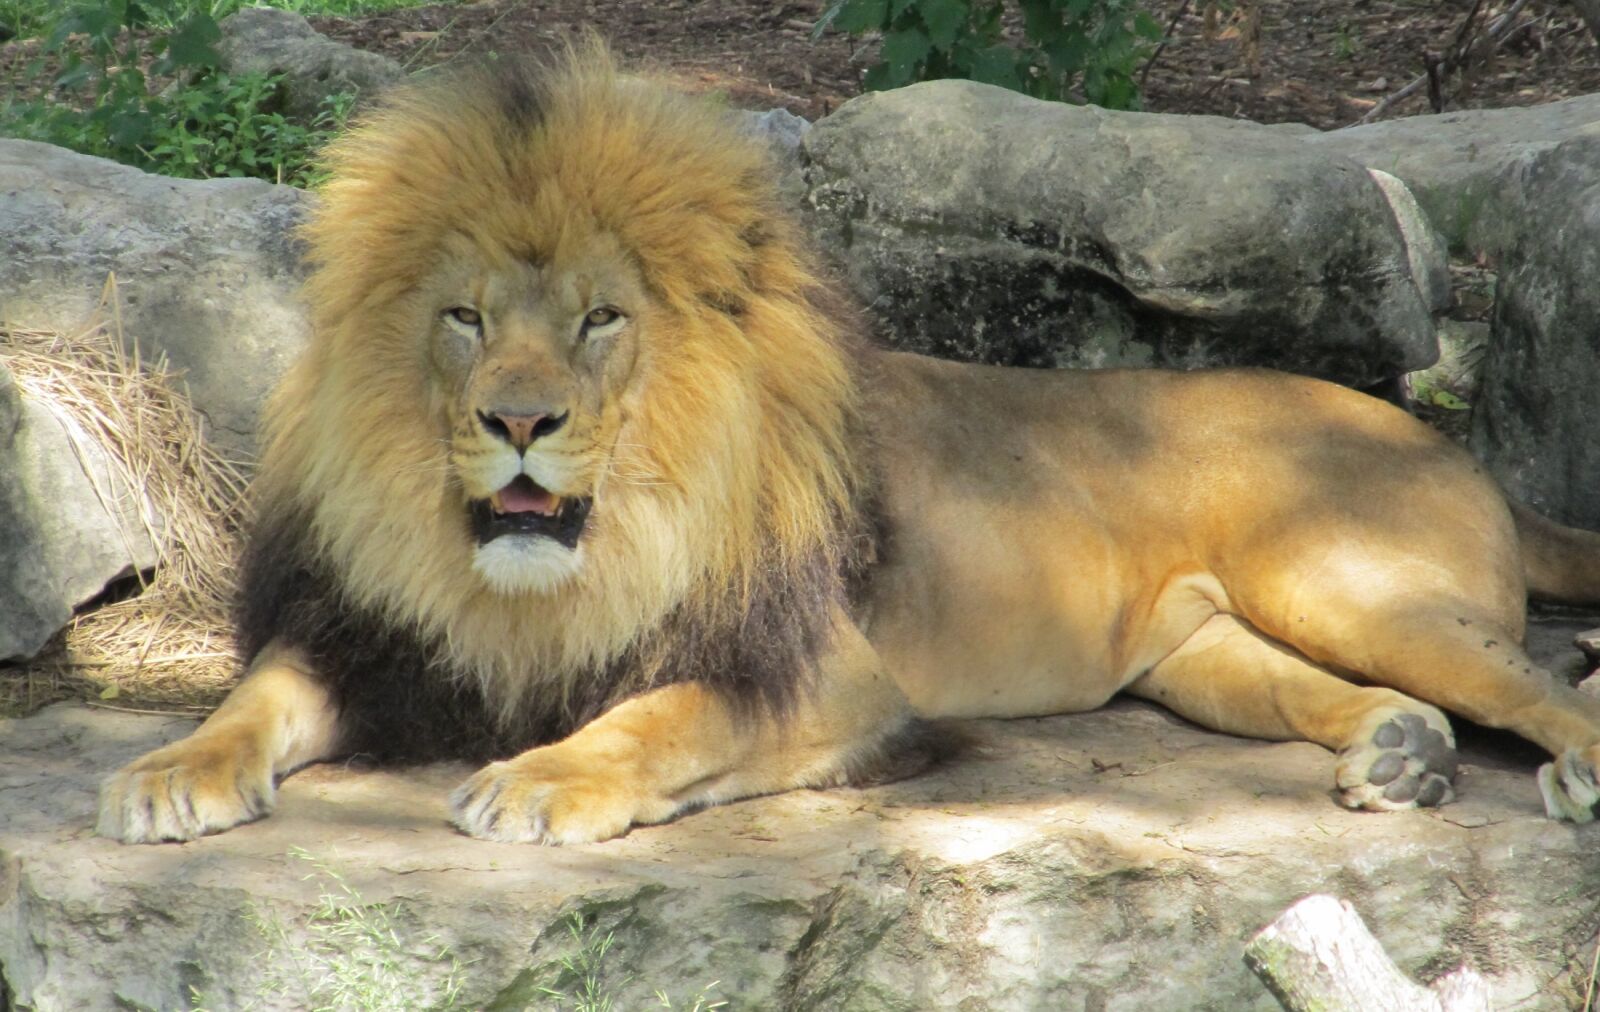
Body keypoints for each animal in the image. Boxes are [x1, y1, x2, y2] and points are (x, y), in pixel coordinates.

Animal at [98, 49, 1600, 846]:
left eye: (598, 320)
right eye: (465, 319)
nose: (517, 422)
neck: (562, 573)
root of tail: (1431, 432)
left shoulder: (829, 676)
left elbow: (656, 717)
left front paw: (538, 779)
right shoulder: (380, 639)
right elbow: (258, 695)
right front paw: (168, 772)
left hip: (1350, 584)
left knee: (1542, 683)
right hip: (1201, 654)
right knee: (1354, 694)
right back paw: (1399, 756)